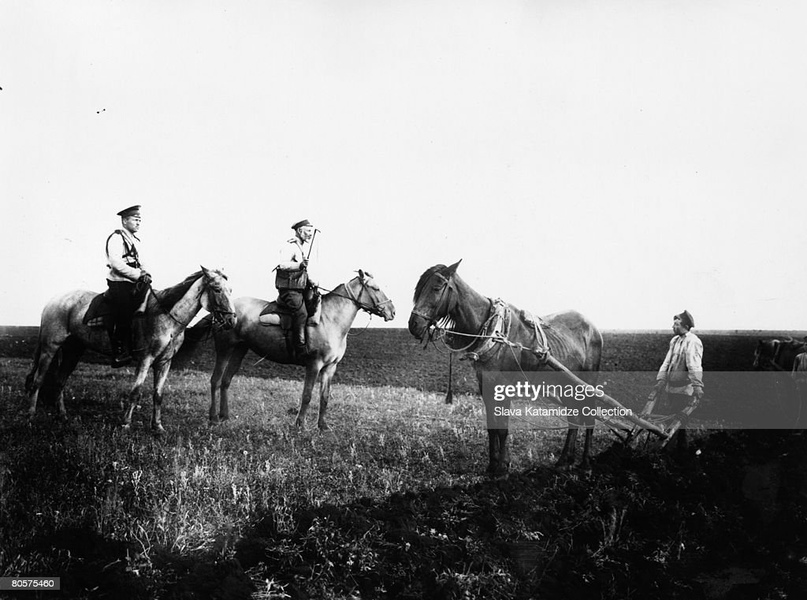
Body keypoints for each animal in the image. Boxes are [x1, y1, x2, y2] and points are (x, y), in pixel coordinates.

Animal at [25, 268, 234, 432]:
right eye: (217, 289)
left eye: (231, 290)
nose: (232, 321)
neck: (166, 316)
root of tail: (53, 301)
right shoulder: (145, 360)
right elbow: (135, 392)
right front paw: (125, 423)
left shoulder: (164, 363)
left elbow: (158, 395)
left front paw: (157, 426)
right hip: (50, 348)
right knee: (38, 380)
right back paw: (31, 415)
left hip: (72, 351)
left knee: (60, 381)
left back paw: (62, 416)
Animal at [408, 260, 604, 476]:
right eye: (419, 290)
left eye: (436, 288)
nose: (413, 324)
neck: (494, 333)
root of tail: (593, 328)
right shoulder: (485, 384)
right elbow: (492, 426)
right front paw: (492, 465)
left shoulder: (503, 386)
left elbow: (502, 428)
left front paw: (503, 468)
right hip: (566, 384)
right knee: (573, 418)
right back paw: (564, 460)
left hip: (587, 382)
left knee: (589, 418)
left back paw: (585, 463)